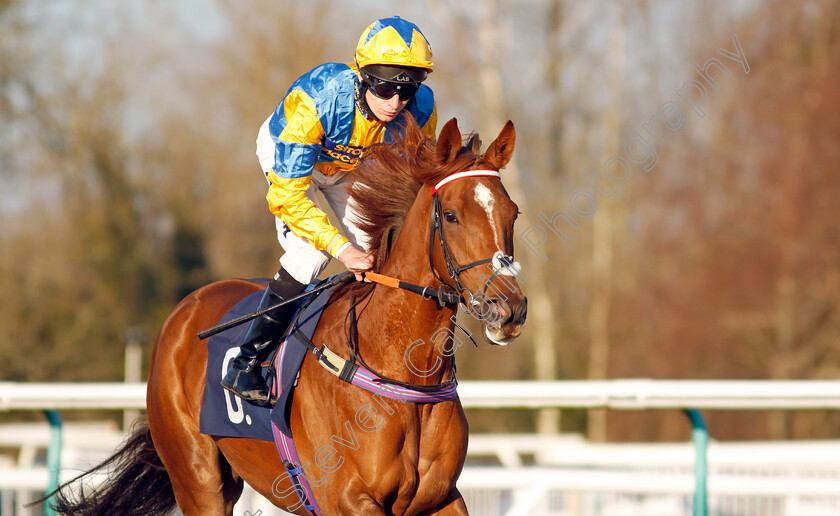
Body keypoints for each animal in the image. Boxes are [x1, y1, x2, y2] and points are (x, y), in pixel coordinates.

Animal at [46, 117, 524, 516]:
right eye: (451, 215)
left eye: (512, 213)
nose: (509, 309)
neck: (401, 368)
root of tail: (184, 310)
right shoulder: (347, 500)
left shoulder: (440, 498)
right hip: (199, 481)